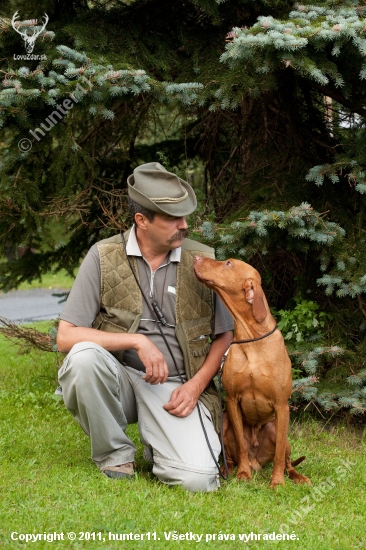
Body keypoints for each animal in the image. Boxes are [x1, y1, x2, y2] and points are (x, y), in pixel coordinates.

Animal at [193, 256, 310, 490]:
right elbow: (241, 444)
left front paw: (277, 482)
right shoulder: (232, 400)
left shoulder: (282, 405)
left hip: (275, 428)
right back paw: (228, 469)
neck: (252, 339)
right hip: (225, 421)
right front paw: (243, 473)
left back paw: (297, 477)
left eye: (228, 263)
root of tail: (258, 462)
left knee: (286, 460)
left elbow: (279, 454)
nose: (196, 257)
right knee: (231, 456)